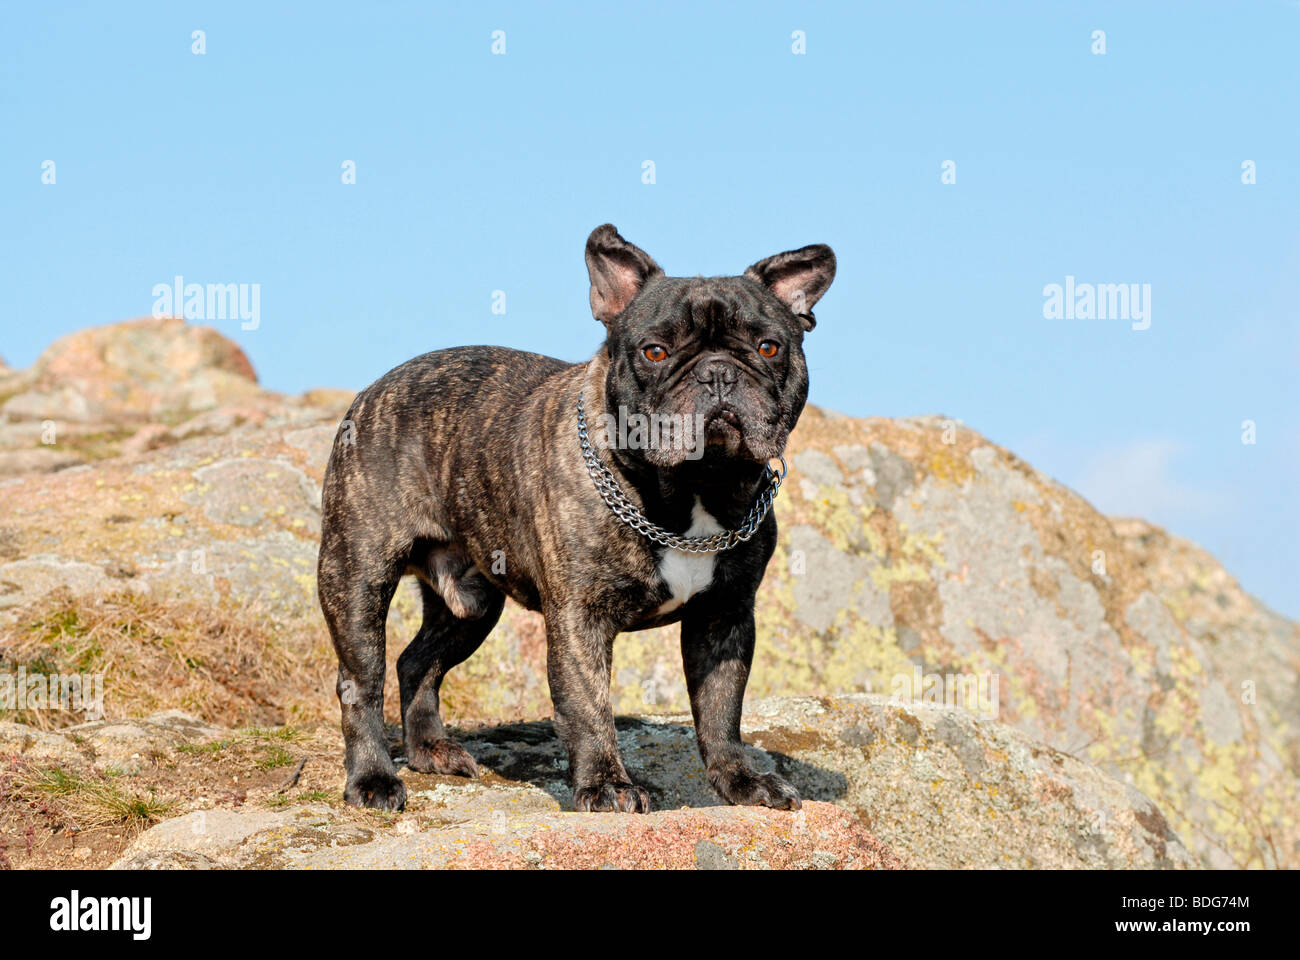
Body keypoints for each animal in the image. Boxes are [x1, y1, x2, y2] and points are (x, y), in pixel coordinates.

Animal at [319, 223, 837, 806]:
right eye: (655, 351)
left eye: (769, 347)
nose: (719, 373)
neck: (693, 488)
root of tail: (372, 390)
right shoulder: (578, 617)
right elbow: (588, 704)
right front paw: (607, 784)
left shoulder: (725, 616)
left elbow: (721, 709)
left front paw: (741, 779)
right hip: (357, 577)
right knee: (361, 682)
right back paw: (373, 777)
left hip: (473, 605)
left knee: (417, 663)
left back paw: (431, 751)